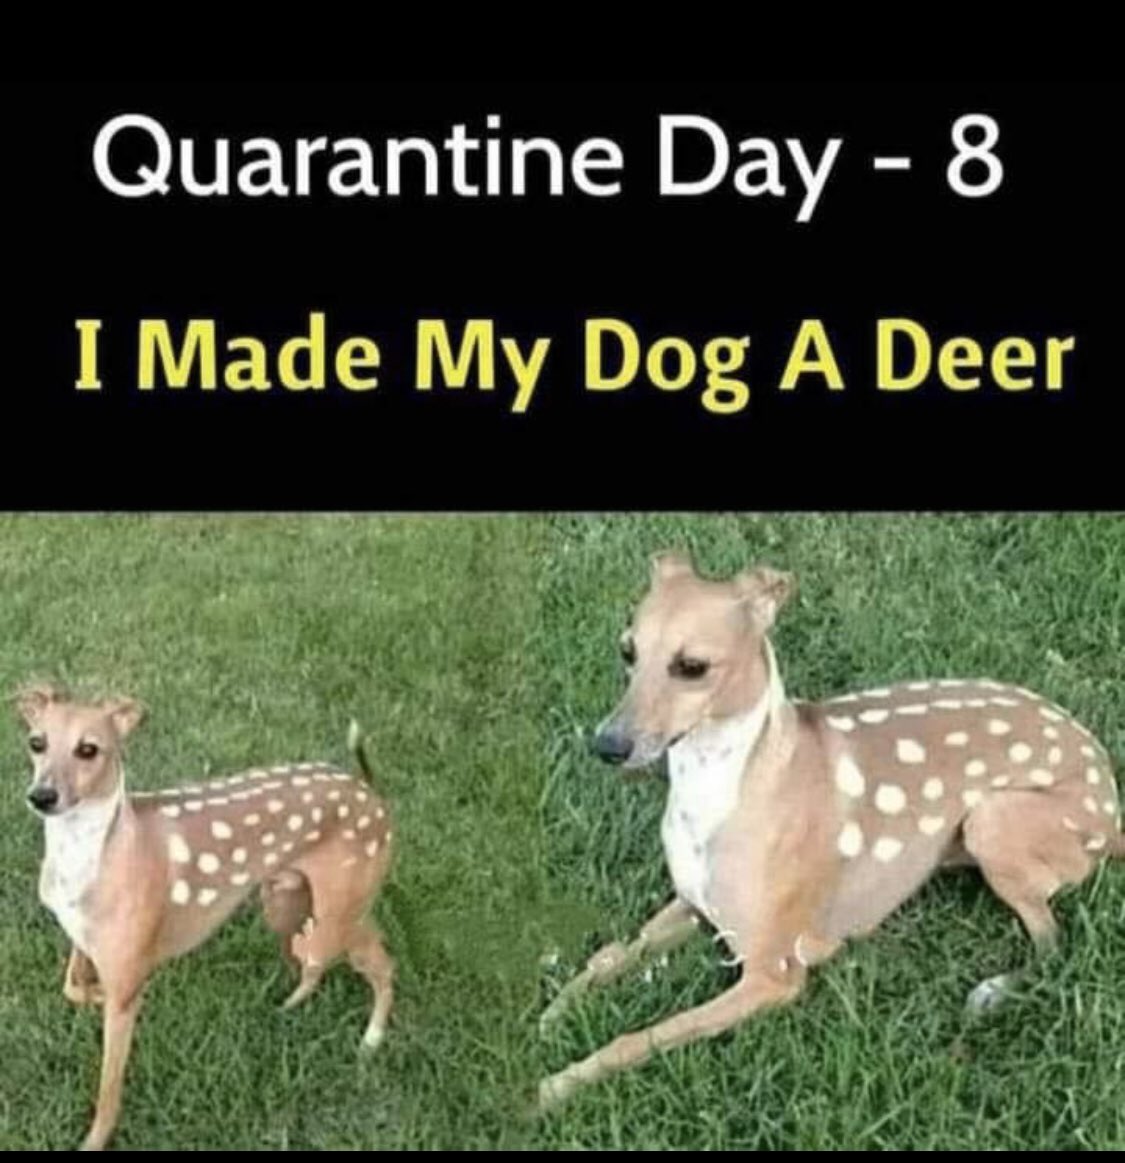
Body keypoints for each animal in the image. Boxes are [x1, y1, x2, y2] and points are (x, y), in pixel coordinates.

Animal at [17, 684, 395, 1151]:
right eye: (36, 742)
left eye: (89, 749)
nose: (42, 796)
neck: (103, 854)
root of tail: (370, 789)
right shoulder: (85, 941)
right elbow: (72, 987)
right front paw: (95, 995)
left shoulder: (126, 975)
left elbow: (109, 1089)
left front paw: (93, 1141)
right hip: (285, 900)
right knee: (312, 960)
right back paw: (284, 1008)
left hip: (342, 907)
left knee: (380, 962)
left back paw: (370, 1041)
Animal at [539, 552, 1123, 1109]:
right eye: (627, 651)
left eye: (692, 666)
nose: (607, 746)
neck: (727, 788)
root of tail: (1113, 811)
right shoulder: (693, 904)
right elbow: (609, 956)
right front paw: (551, 1013)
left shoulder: (774, 973)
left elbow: (644, 1037)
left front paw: (556, 1086)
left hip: (993, 821)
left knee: (1053, 943)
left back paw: (993, 992)